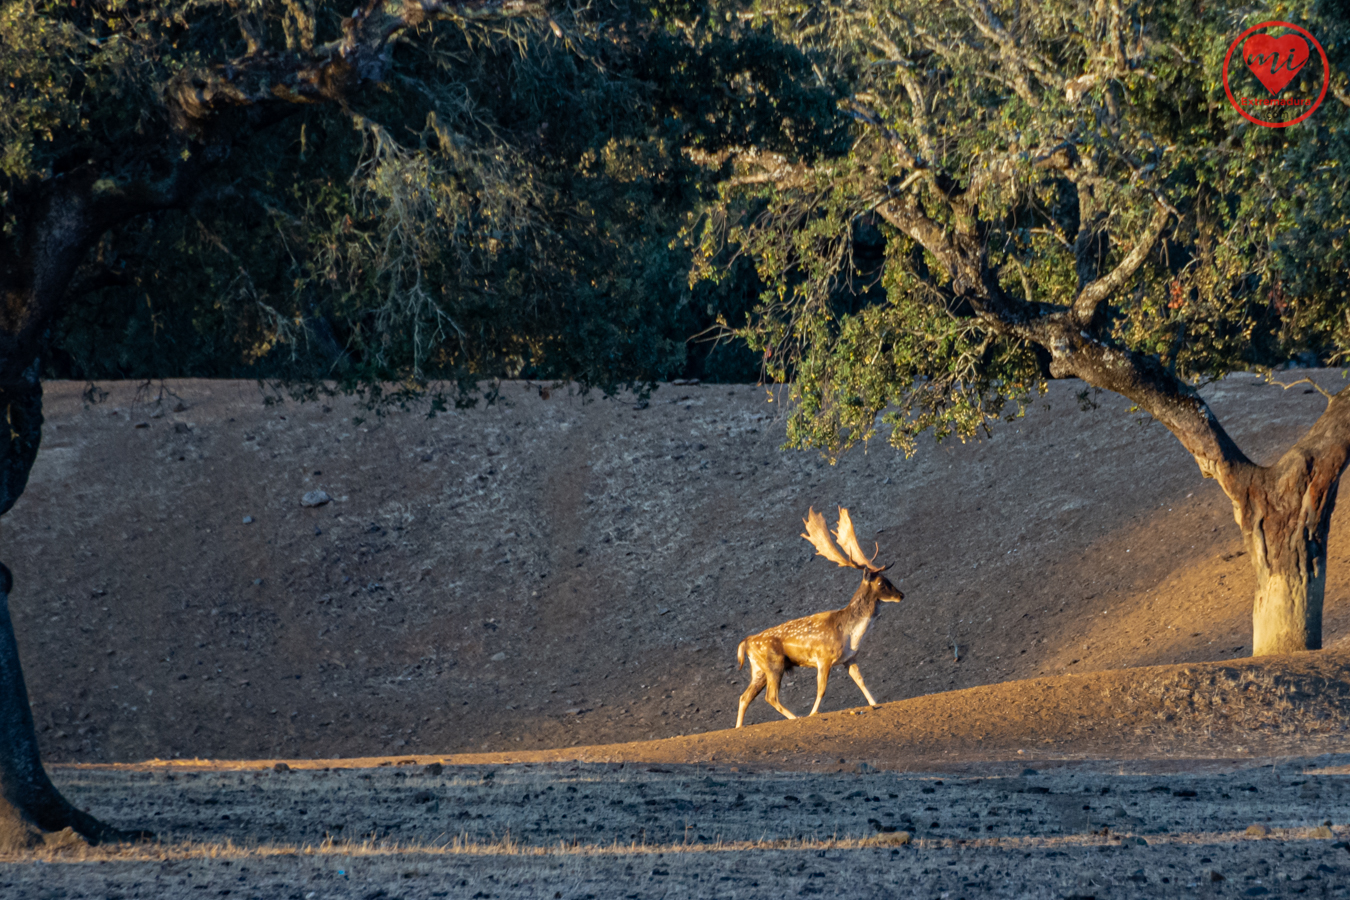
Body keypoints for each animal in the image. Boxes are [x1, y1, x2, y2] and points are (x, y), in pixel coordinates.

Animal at [734, 510, 901, 728]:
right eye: (881, 583)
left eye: (889, 579)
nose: (901, 595)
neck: (850, 634)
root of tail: (746, 642)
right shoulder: (824, 658)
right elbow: (821, 689)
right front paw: (813, 713)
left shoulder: (849, 658)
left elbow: (861, 681)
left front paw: (875, 703)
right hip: (774, 664)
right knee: (770, 696)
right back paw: (795, 717)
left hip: (758, 670)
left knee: (744, 697)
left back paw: (738, 727)